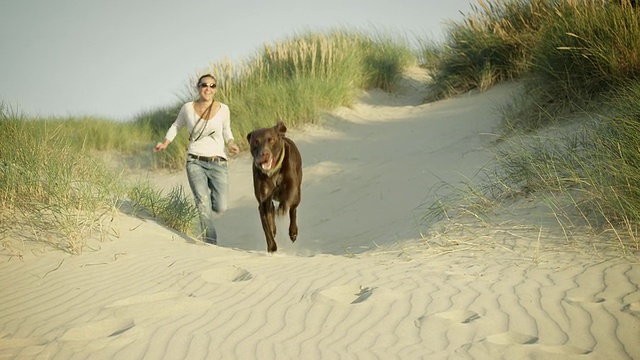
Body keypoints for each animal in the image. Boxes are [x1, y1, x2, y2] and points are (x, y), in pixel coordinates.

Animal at [248, 119, 302, 252]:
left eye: (271, 140)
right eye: (256, 142)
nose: (264, 154)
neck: (273, 172)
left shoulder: (291, 185)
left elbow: (287, 199)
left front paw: (282, 208)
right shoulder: (263, 201)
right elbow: (267, 227)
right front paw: (272, 248)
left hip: (298, 195)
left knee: (293, 210)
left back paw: (293, 232)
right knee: (271, 209)